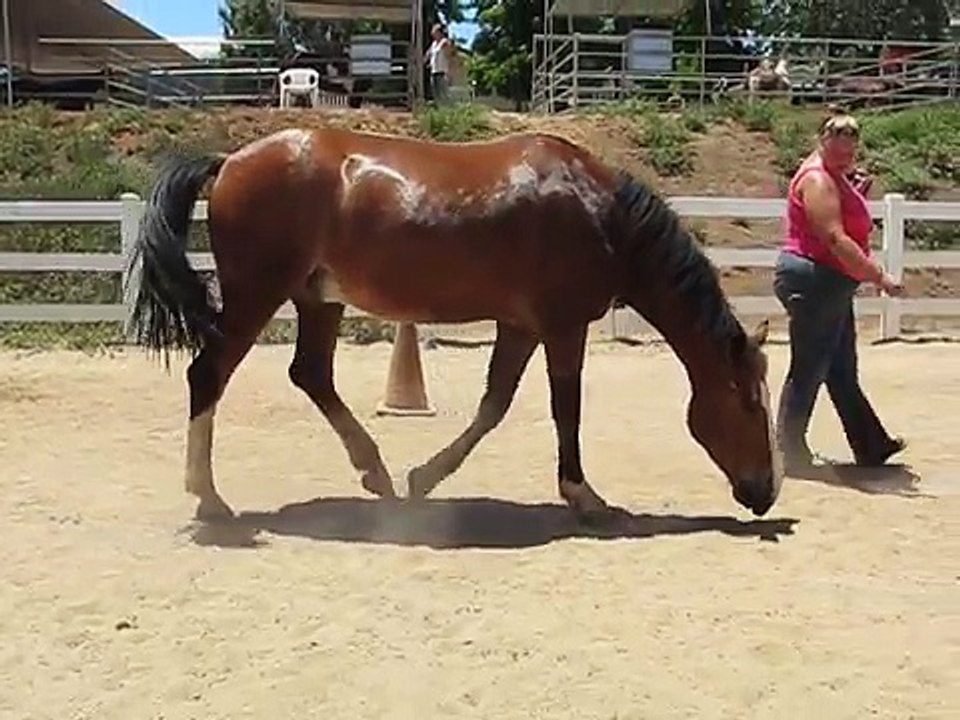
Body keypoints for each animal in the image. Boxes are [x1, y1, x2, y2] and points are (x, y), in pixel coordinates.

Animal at [127, 127, 783, 522]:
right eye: (750, 400)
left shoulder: (521, 326)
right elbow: (565, 407)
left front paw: (425, 477)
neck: (599, 213)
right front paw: (584, 495)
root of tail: (230, 161)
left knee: (310, 374)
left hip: (318, 299)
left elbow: (494, 405)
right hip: (256, 296)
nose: (766, 491)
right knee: (209, 374)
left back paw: (376, 472)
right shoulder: (563, 326)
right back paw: (209, 497)